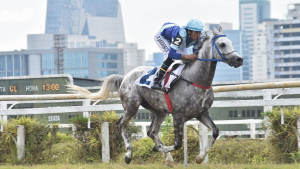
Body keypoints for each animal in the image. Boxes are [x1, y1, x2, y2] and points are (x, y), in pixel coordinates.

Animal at [66, 27, 244, 166]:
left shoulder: (201, 113)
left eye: (232, 42)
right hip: (131, 106)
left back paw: (169, 159)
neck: (195, 79)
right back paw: (129, 154)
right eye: (222, 44)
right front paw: (158, 148)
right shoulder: (178, 116)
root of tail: (125, 76)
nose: (239, 59)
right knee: (121, 124)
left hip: (159, 111)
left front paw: (200, 157)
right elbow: (178, 144)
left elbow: (215, 132)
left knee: (152, 132)